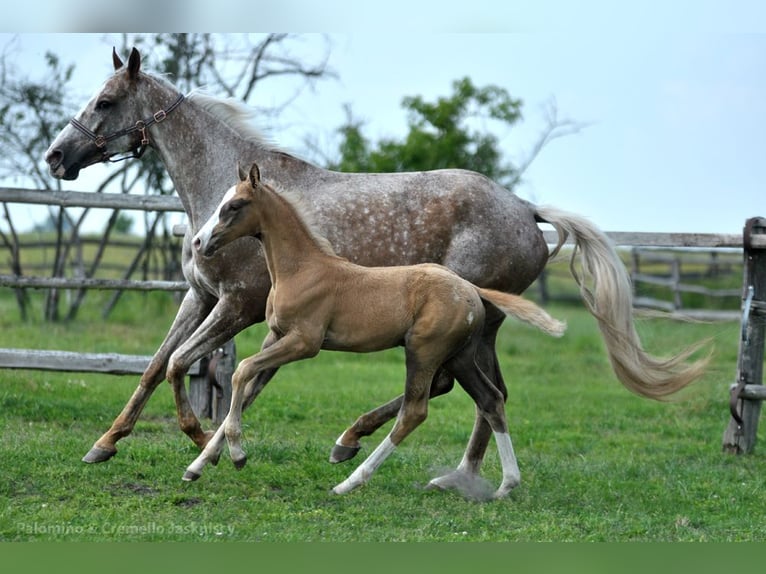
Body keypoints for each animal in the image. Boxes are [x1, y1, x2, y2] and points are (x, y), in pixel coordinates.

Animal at [184, 162, 566, 497]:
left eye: (234, 205)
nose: (199, 243)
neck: (302, 269)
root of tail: (470, 289)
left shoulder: (304, 343)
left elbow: (241, 371)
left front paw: (237, 455)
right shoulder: (277, 337)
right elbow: (247, 385)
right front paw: (198, 466)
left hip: (423, 352)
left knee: (414, 411)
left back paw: (350, 479)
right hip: (460, 357)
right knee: (491, 399)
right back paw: (506, 485)